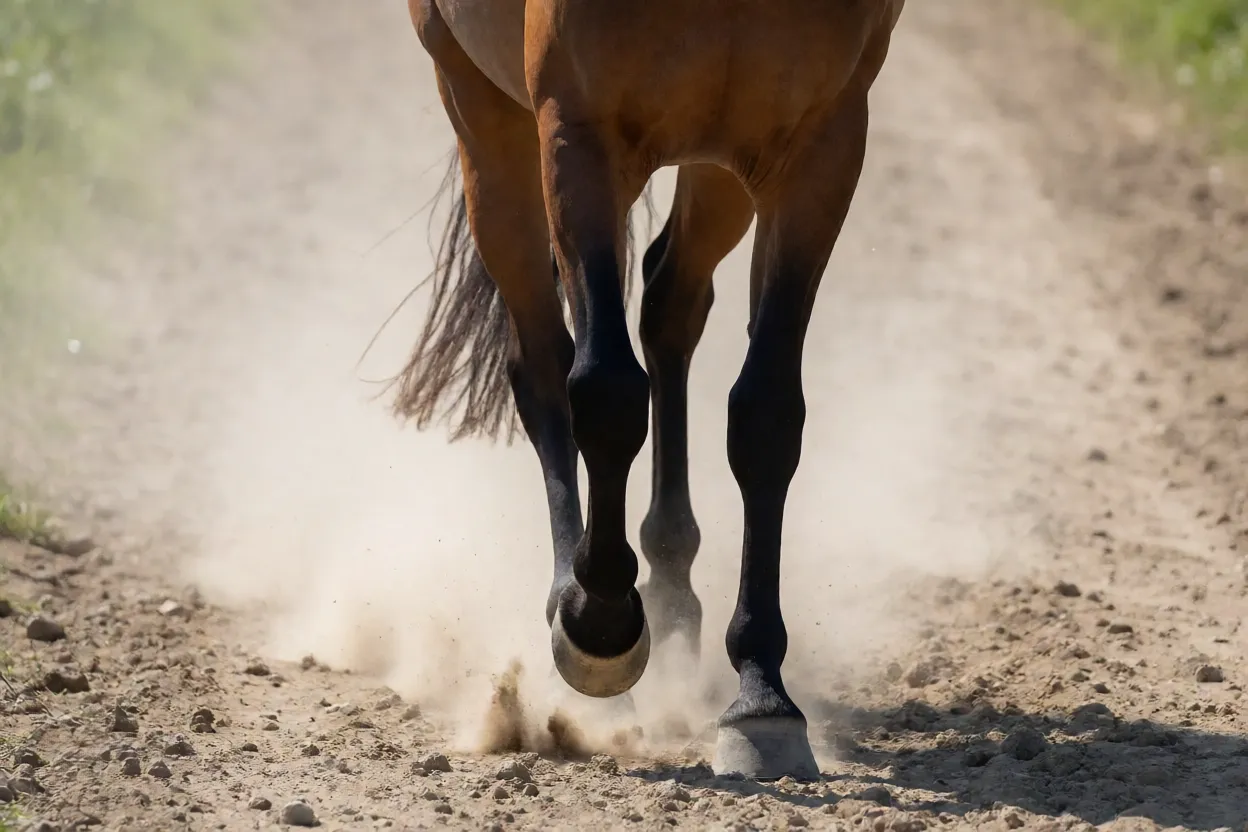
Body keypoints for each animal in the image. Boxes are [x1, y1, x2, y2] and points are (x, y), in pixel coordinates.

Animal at [393, 0, 906, 781]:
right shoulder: (579, 133)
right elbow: (605, 393)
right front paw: (598, 623)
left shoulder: (822, 143)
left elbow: (766, 414)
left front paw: (761, 697)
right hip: (483, 113)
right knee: (544, 362)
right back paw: (578, 612)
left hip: (715, 160)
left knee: (670, 299)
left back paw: (670, 591)